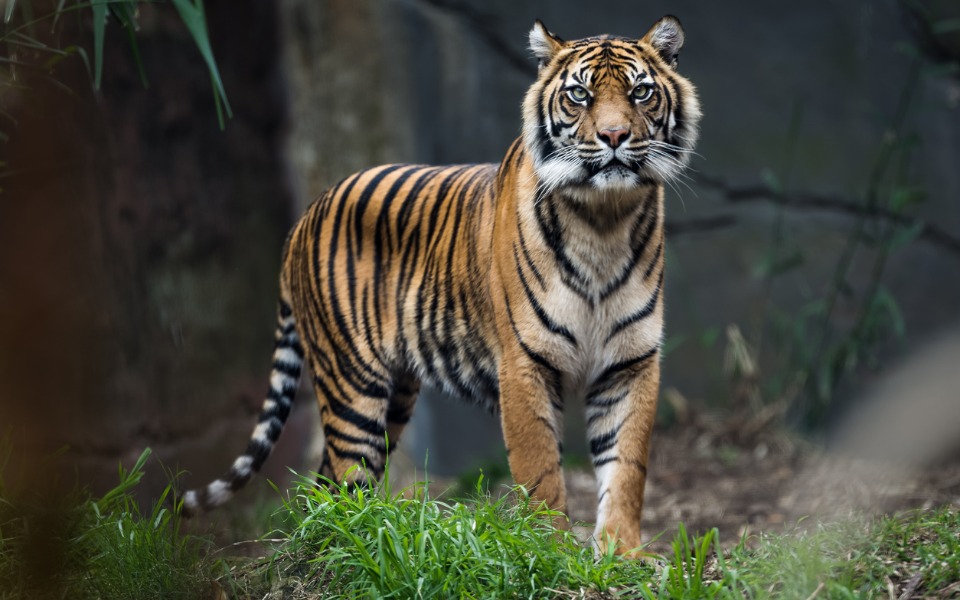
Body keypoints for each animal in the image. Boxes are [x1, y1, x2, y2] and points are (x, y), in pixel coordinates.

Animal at [181, 15, 700, 556]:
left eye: (641, 92)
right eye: (579, 94)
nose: (614, 135)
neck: (604, 220)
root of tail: (302, 219)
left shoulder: (630, 363)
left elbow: (627, 467)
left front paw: (623, 554)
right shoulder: (524, 364)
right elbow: (541, 472)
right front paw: (550, 552)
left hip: (395, 393)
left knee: (326, 482)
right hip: (352, 385)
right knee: (344, 475)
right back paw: (355, 542)